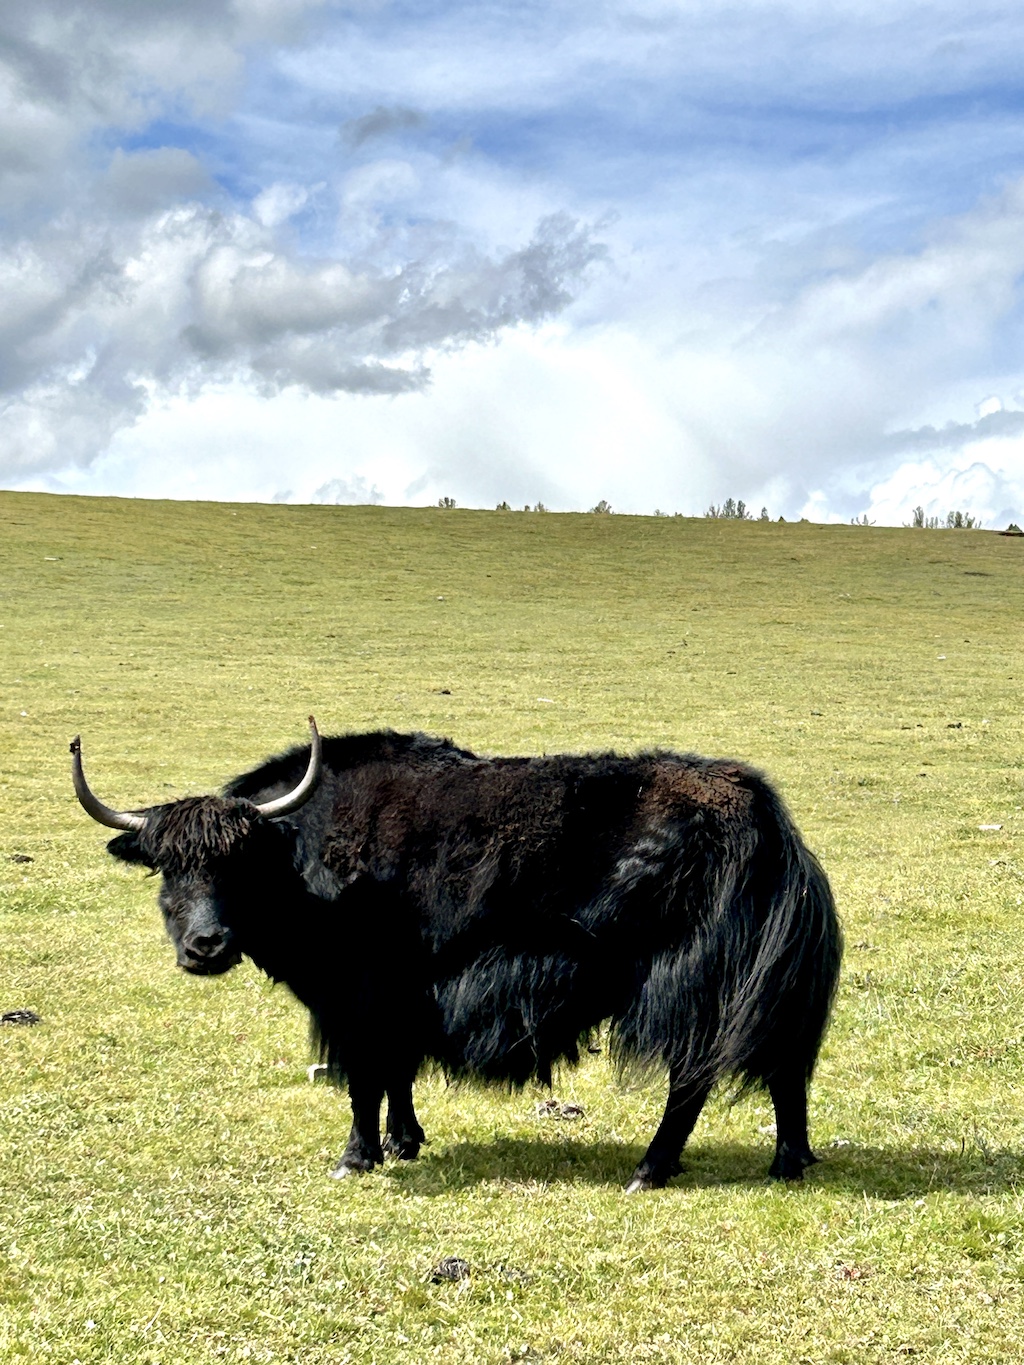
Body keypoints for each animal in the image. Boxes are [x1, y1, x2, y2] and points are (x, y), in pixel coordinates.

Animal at [71, 718, 841, 1192]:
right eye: (167, 867)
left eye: (239, 865)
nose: (205, 947)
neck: (302, 856)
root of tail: (764, 812)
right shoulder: (403, 995)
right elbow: (397, 1070)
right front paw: (404, 1140)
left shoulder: (355, 993)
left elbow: (364, 1075)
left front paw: (357, 1157)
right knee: (786, 1067)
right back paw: (789, 1161)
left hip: (686, 980)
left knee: (695, 1076)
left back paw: (650, 1169)